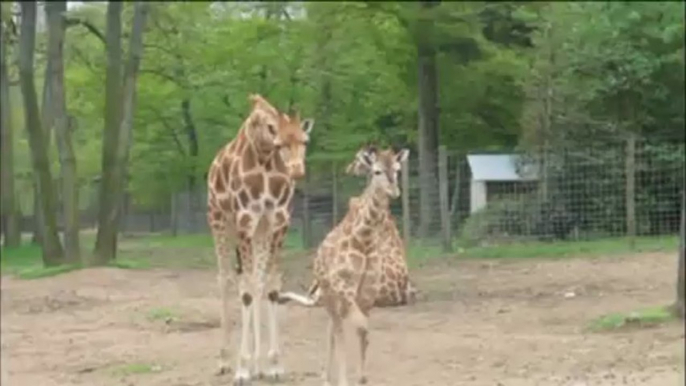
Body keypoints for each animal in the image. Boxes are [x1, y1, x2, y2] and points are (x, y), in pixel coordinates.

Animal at [207, 92, 318, 382]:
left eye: (305, 141)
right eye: (280, 142)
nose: (297, 170)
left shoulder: (277, 223)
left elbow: (270, 287)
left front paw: (274, 365)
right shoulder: (245, 221)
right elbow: (245, 291)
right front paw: (242, 368)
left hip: (259, 233)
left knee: (255, 280)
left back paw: (258, 365)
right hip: (219, 222)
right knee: (225, 280)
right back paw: (224, 361)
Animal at [280, 145, 420, 386]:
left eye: (397, 169)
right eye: (376, 170)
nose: (394, 191)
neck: (363, 238)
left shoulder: (367, 293)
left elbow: (363, 331)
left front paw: (362, 378)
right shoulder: (343, 287)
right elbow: (355, 328)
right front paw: (348, 379)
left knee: (334, 326)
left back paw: (327, 376)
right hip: (330, 294)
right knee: (335, 327)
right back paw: (327, 378)